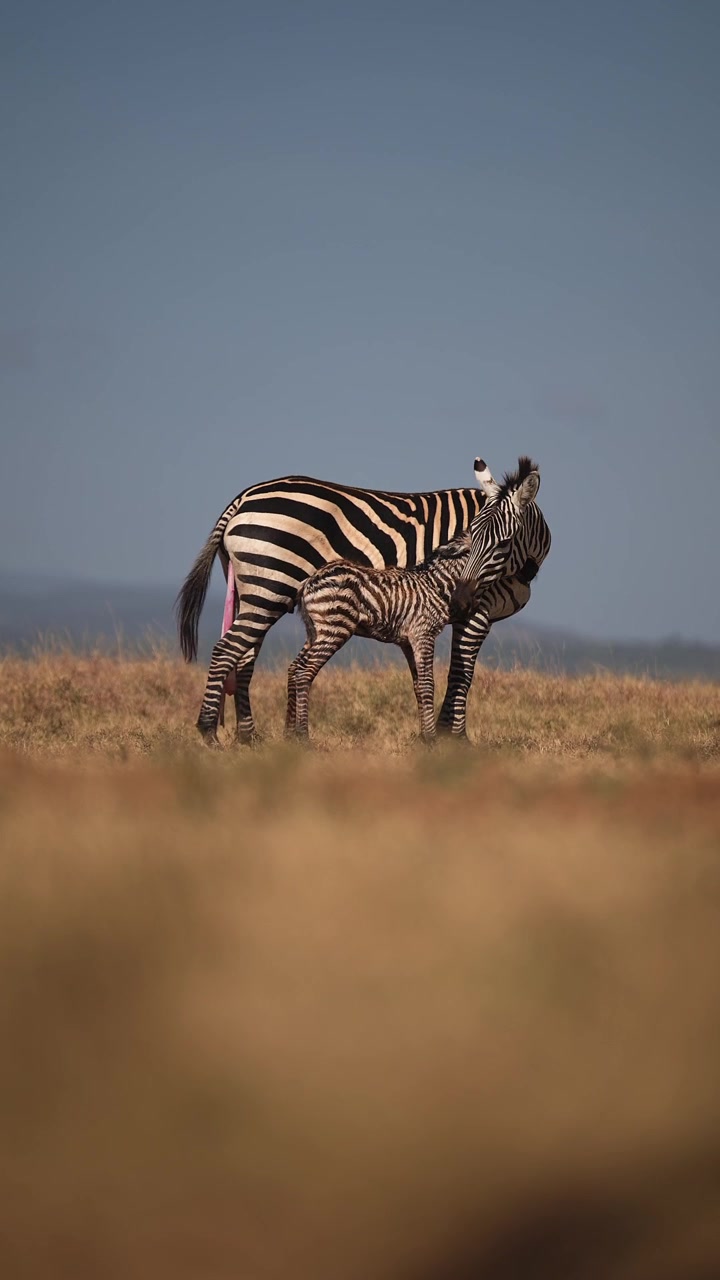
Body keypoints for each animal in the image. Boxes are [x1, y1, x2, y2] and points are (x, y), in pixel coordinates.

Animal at [286, 457, 543, 744]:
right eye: (482, 545)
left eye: (501, 545)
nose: (464, 602)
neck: (438, 583)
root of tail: (308, 582)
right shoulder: (423, 633)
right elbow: (429, 683)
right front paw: (432, 739)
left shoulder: (407, 639)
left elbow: (419, 685)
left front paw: (424, 737)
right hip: (334, 628)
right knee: (304, 673)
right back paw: (303, 737)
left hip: (314, 630)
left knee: (295, 669)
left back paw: (292, 736)